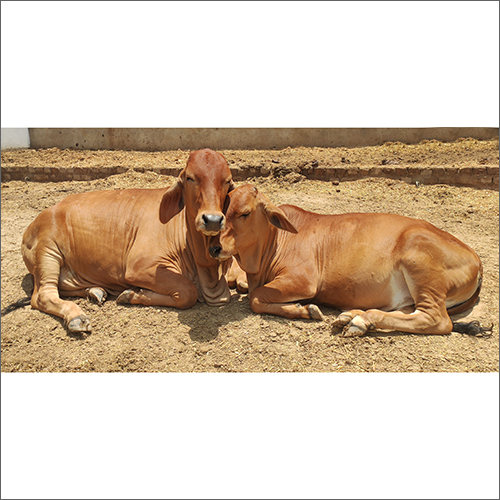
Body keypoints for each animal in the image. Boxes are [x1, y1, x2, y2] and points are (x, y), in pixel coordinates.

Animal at [20, 149, 235, 336]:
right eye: (190, 178)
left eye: (227, 181)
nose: (212, 219)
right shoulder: (140, 267)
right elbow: (187, 292)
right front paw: (131, 294)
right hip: (47, 252)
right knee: (42, 295)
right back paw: (77, 317)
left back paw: (95, 291)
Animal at [211, 184, 484, 336]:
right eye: (223, 210)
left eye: (245, 213)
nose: (214, 247)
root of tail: (476, 258)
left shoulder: (304, 281)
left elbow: (256, 299)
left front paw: (307, 309)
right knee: (407, 312)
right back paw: (353, 317)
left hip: (422, 269)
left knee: (437, 320)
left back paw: (360, 321)